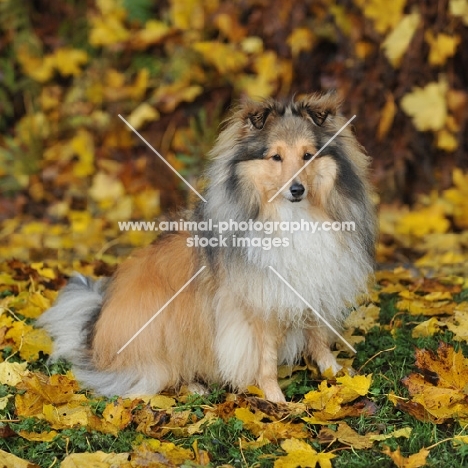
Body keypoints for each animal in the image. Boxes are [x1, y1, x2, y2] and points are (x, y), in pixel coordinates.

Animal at [38, 94, 378, 402]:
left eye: (308, 155)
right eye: (275, 157)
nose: (297, 190)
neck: (292, 218)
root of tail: (93, 335)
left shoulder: (313, 286)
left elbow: (318, 336)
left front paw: (339, 376)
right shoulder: (258, 303)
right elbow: (265, 359)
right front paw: (277, 401)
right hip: (162, 326)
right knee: (154, 376)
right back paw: (193, 387)